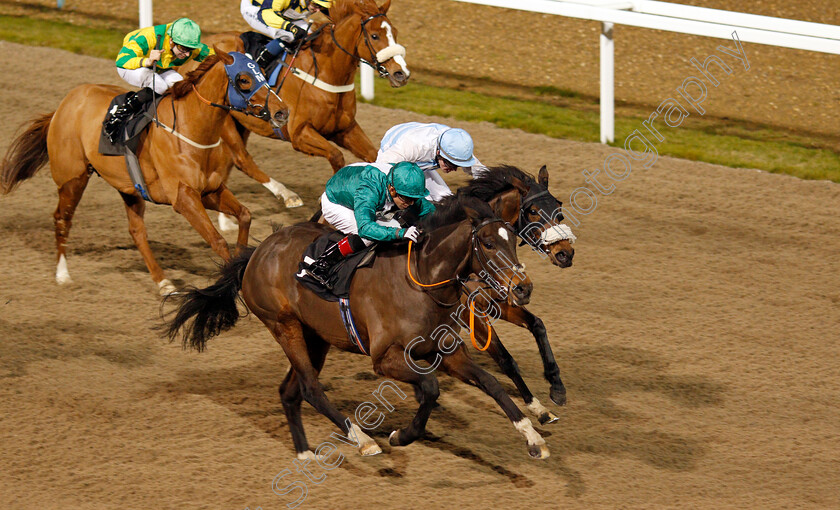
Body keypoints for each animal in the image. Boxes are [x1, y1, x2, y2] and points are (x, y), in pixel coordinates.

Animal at [0, 49, 288, 294]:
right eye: (243, 79)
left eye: (263, 74)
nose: (282, 111)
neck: (191, 128)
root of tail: (64, 104)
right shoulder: (184, 198)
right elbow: (217, 241)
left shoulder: (210, 190)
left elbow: (245, 215)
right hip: (73, 179)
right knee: (62, 218)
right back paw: (62, 275)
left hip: (128, 188)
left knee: (137, 232)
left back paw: (164, 283)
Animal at [166, 195, 552, 458]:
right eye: (488, 243)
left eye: (513, 240)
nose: (524, 288)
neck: (422, 279)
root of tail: (257, 252)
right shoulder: (386, 358)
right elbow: (429, 388)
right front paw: (401, 435)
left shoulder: (447, 352)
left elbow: (490, 382)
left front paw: (532, 436)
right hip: (283, 325)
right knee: (310, 388)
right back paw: (362, 440)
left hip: (316, 337)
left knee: (290, 391)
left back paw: (305, 452)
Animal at [180, 0, 410, 217]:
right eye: (374, 36)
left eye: (396, 32)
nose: (401, 74)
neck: (326, 72)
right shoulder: (299, 134)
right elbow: (336, 156)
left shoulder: (345, 129)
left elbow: (374, 155)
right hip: (224, 119)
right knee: (242, 159)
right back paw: (287, 195)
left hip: (242, 122)